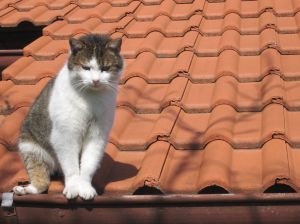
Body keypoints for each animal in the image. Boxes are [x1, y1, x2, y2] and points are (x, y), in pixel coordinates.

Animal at [12, 33, 123, 200]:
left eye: (105, 68)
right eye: (86, 68)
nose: (96, 80)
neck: (91, 97)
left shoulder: (97, 135)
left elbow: (88, 164)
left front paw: (85, 187)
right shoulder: (65, 135)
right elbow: (71, 167)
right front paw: (73, 187)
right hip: (29, 146)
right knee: (41, 180)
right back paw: (25, 189)